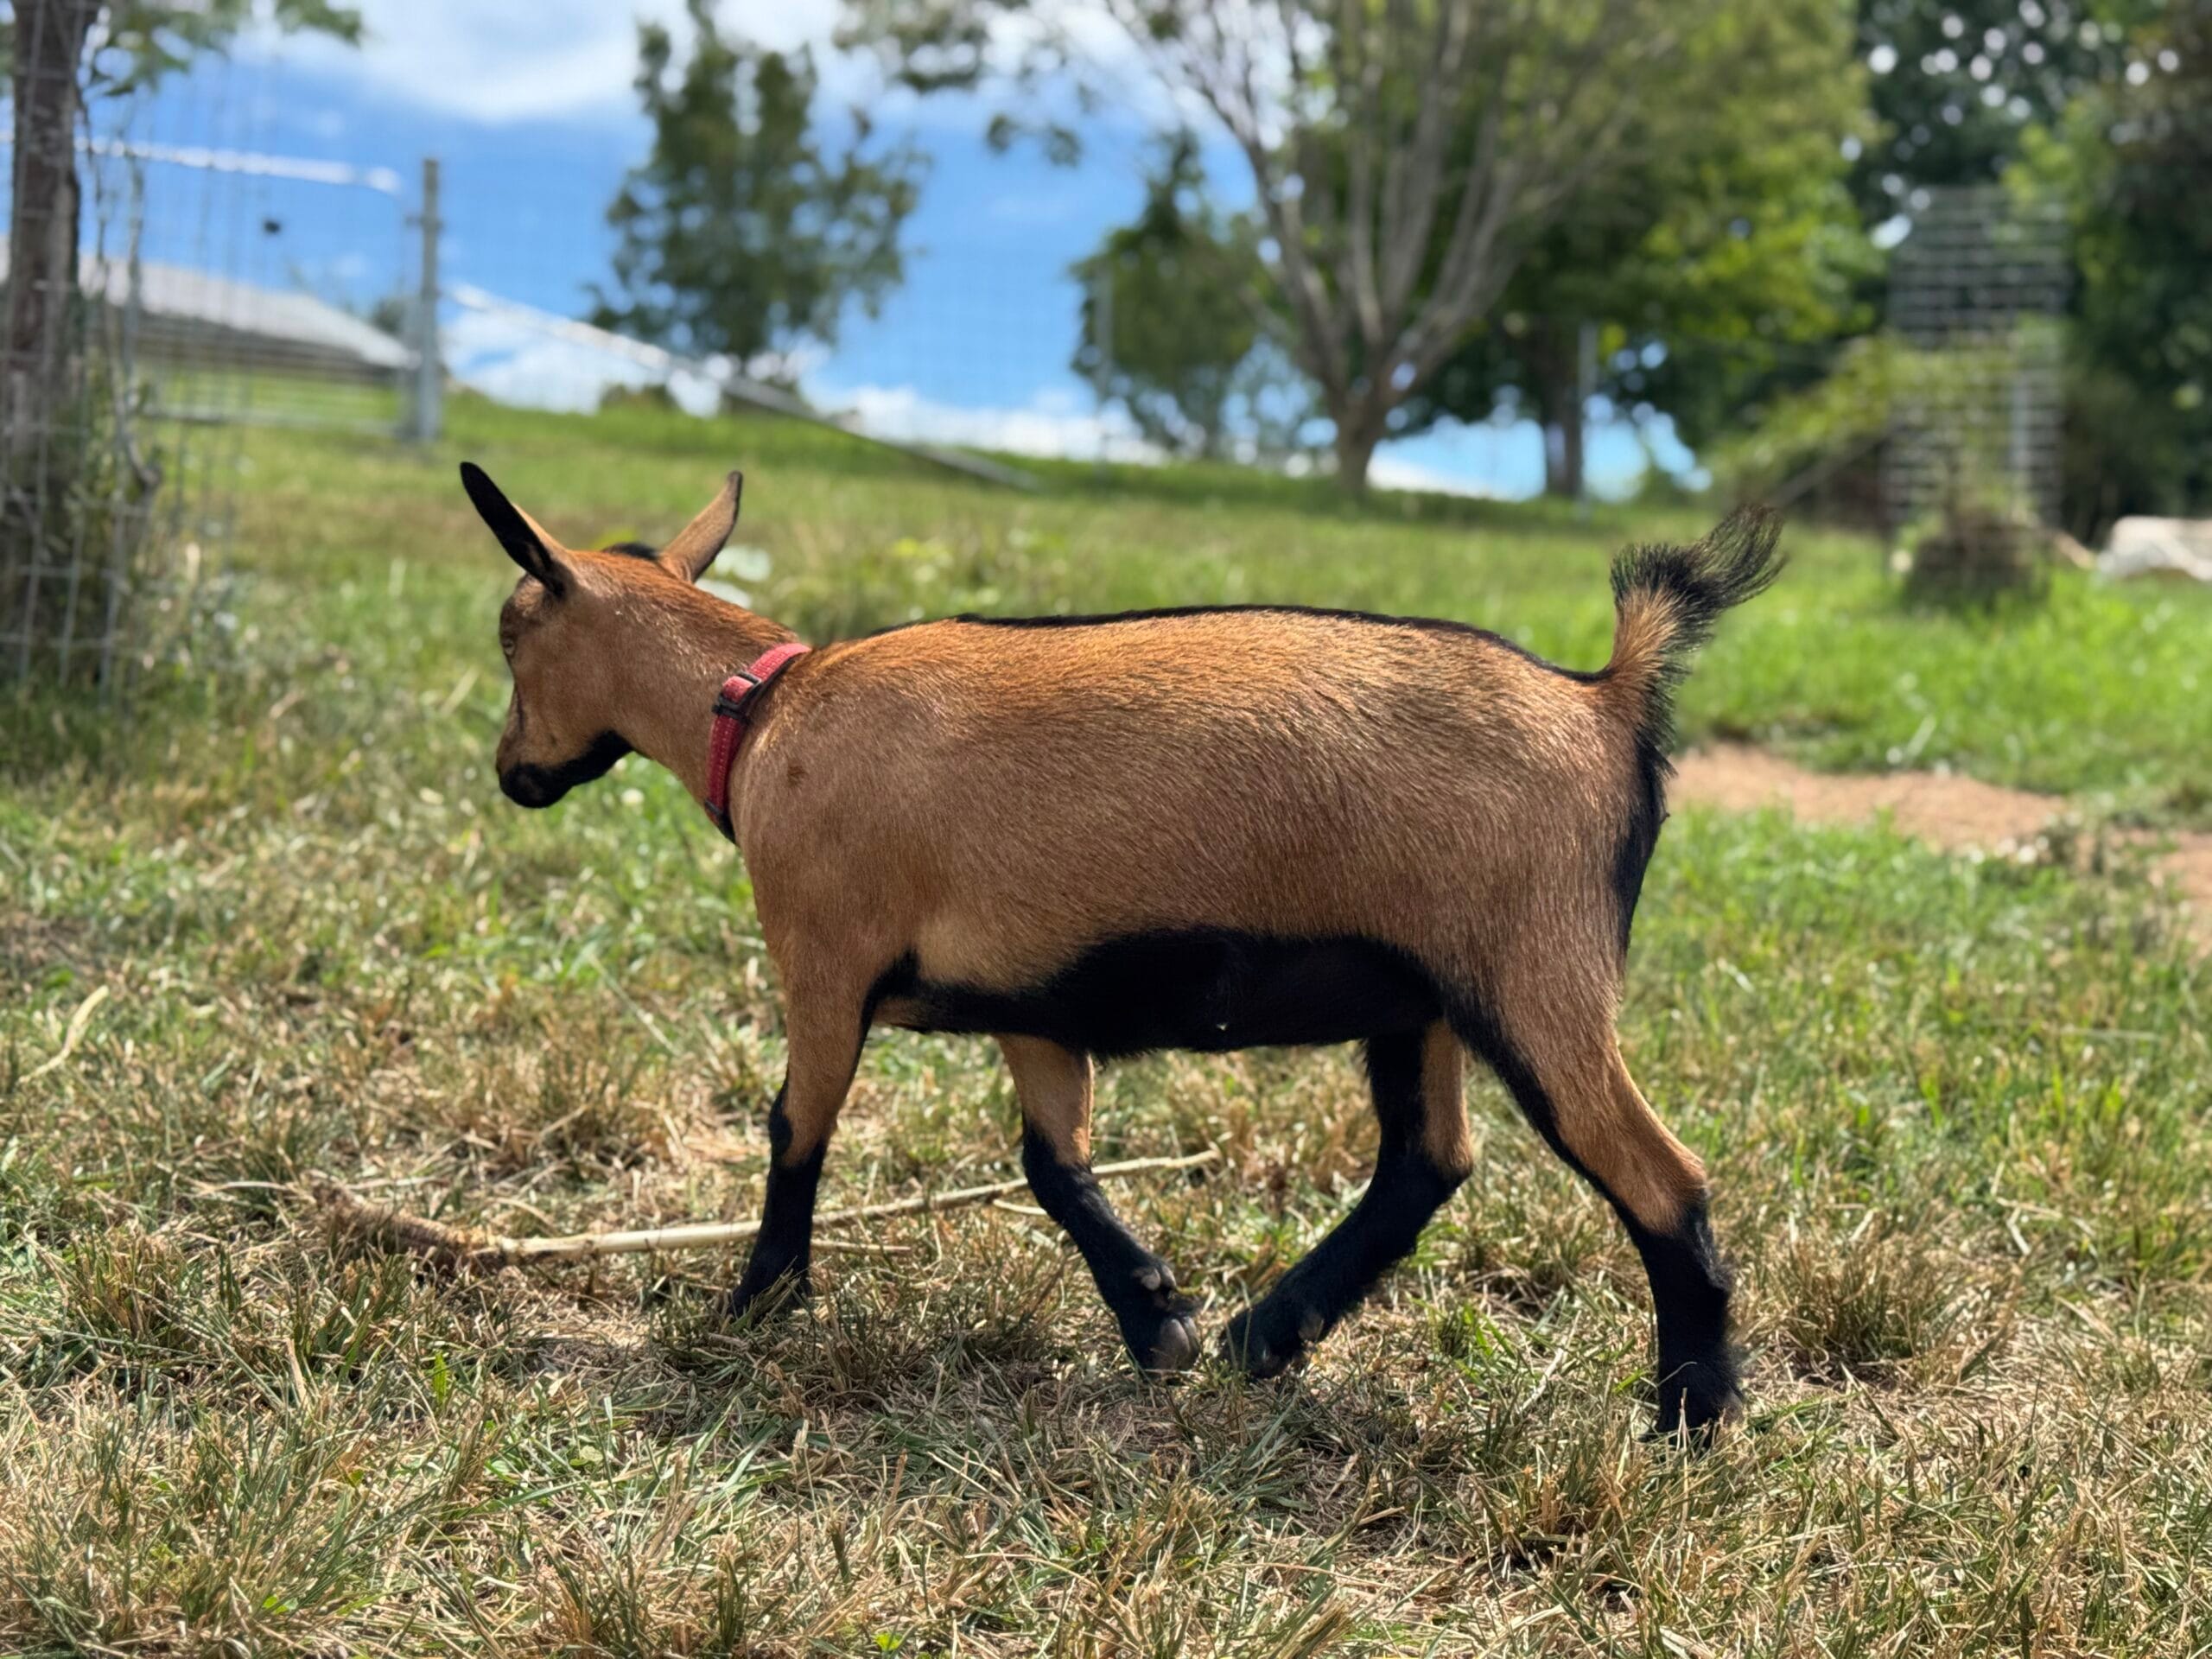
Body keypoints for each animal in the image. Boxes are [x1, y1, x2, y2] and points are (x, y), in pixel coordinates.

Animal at [460, 462, 1781, 1434]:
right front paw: (1159, 1321)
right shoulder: (1032, 1003)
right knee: (1428, 1160)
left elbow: (798, 1128)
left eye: (511, 636)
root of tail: (1608, 697)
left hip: (1535, 977)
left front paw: (755, 1304)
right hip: (1427, 996)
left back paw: (1690, 1413)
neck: (770, 711)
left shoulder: (824, 956)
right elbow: (1055, 1165)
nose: (512, 772)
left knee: (1663, 1179)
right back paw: (1266, 1335)